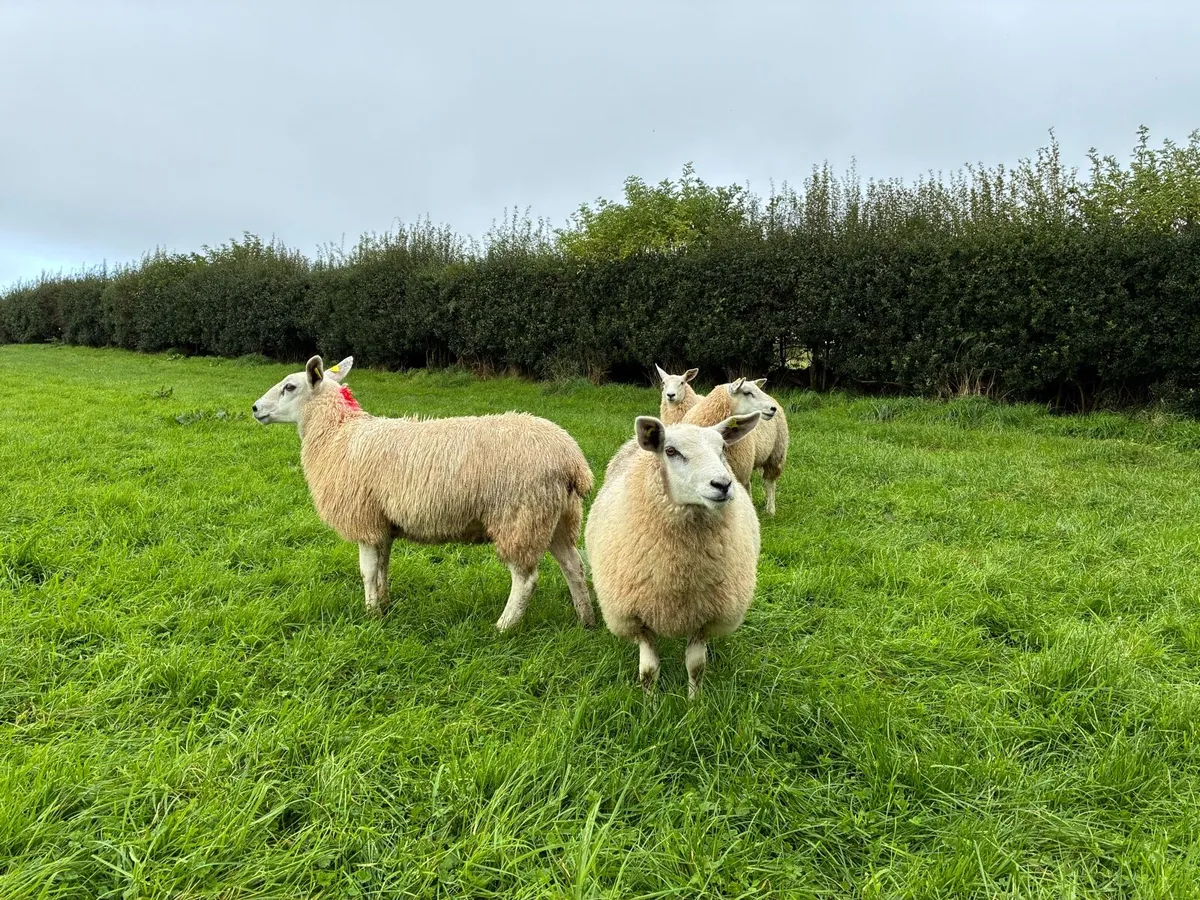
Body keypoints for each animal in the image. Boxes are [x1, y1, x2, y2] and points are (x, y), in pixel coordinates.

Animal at [252, 355, 595, 630]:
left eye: (290, 387)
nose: (254, 408)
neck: (338, 434)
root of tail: (573, 460)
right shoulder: (383, 523)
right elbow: (383, 567)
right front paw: (384, 604)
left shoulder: (364, 518)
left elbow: (367, 571)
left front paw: (370, 615)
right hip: (556, 517)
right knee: (574, 567)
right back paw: (585, 620)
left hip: (519, 517)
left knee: (526, 579)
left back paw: (503, 627)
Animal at [584, 411, 763, 697]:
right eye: (670, 451)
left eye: (723, 449)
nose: (723, 484)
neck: (679, 571)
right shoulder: (637, 616)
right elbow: (648, 671)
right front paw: (650, 703)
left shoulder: (706, 616)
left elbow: (696, 666)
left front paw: (694, 702)